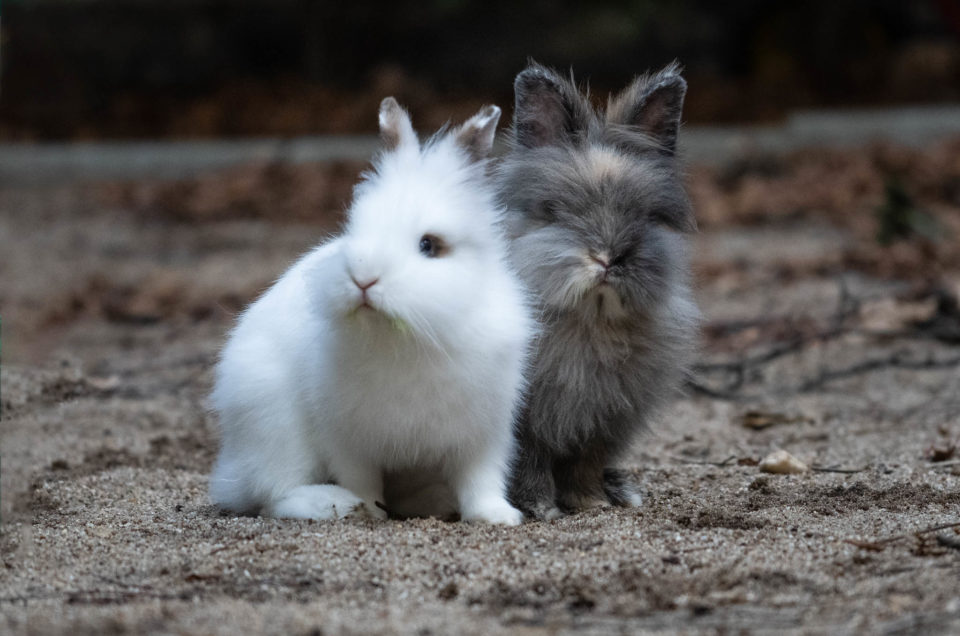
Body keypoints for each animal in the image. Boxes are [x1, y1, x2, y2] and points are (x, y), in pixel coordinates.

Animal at [209, 98, 532, 528]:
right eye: (354, 228)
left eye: (429, 245)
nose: (363, 278)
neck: (409, 337)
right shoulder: (346, 437)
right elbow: (361, 479)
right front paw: (366, 511)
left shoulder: (484, 432)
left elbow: (481, 480)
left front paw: (497, 516)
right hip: (273, 427)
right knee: (273, 495)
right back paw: (330, 504)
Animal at [502, 63, 696, 520]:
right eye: (557, 211)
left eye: (644, 216)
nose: (608, 257)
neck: (591, 319)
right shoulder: (526, 421)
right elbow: (529, 461)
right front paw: (541, 507)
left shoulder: (605, 423)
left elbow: (585, 463)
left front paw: (590, 503)